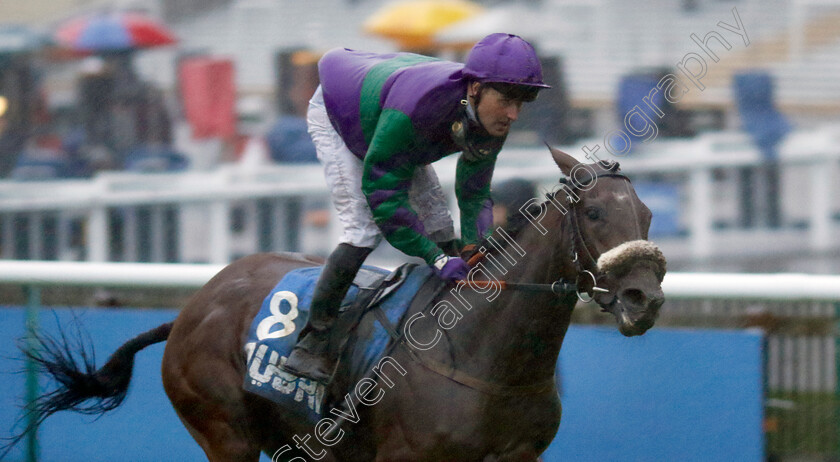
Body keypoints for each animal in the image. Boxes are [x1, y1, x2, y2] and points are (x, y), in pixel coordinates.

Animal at [4, 146, 664, 460]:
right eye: (594, 212)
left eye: (648, 214)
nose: (645, 298)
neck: (484, 357)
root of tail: (191, 308)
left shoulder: (520, 456)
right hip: (223, 430)